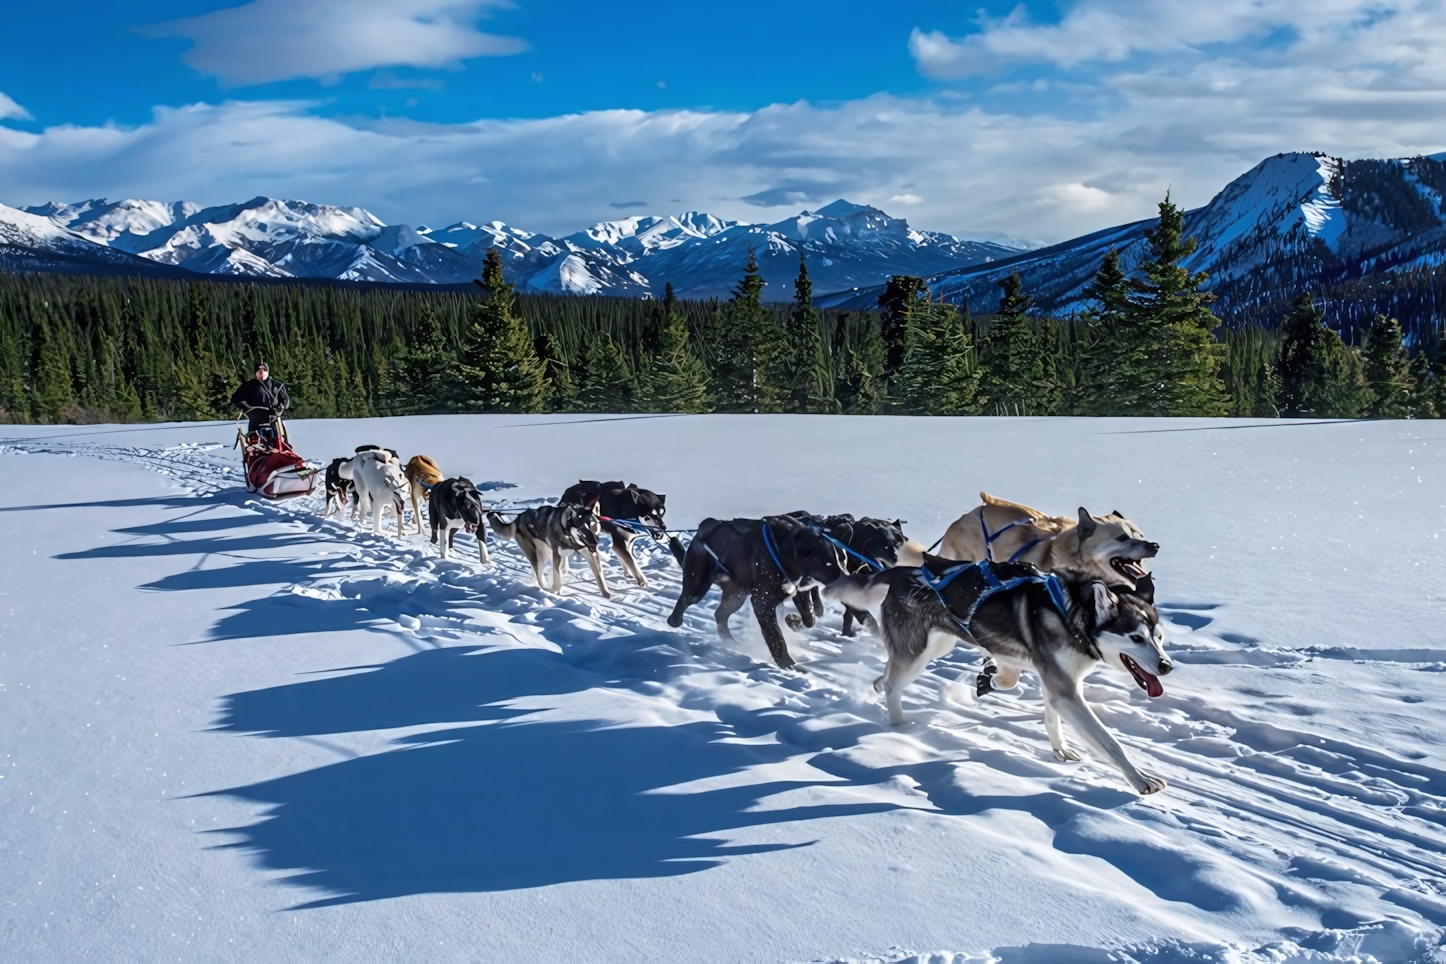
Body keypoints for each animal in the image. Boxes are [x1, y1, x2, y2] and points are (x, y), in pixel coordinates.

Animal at [665, 520, 844, 670]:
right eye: (827, 562)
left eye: (839, 558)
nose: (844, 575)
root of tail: (705, 525)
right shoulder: (762, 602)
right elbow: (776, 636)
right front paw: (787, 664)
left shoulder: (799, 592)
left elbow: (809, 619)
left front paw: (793, 621)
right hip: (698, 585)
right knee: (687, 600)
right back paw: (674, 620)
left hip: (736, 597)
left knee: (720, 615)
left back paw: (732, 642)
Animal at [827, 560, 1174, 797]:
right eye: (1136, 638)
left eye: (1158, 637)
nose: (1167, 665)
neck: (1074, 615)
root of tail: (904, 570)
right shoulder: (1065, 689)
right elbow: (1110, 743)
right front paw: (1141, 779)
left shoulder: (1057, 682)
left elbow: (1049, 716)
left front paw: (1059, 750)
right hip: (918, 655)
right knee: (892, 684)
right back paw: (899, 728)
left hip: (935, 647)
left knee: (887, 674)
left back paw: (879, 688)